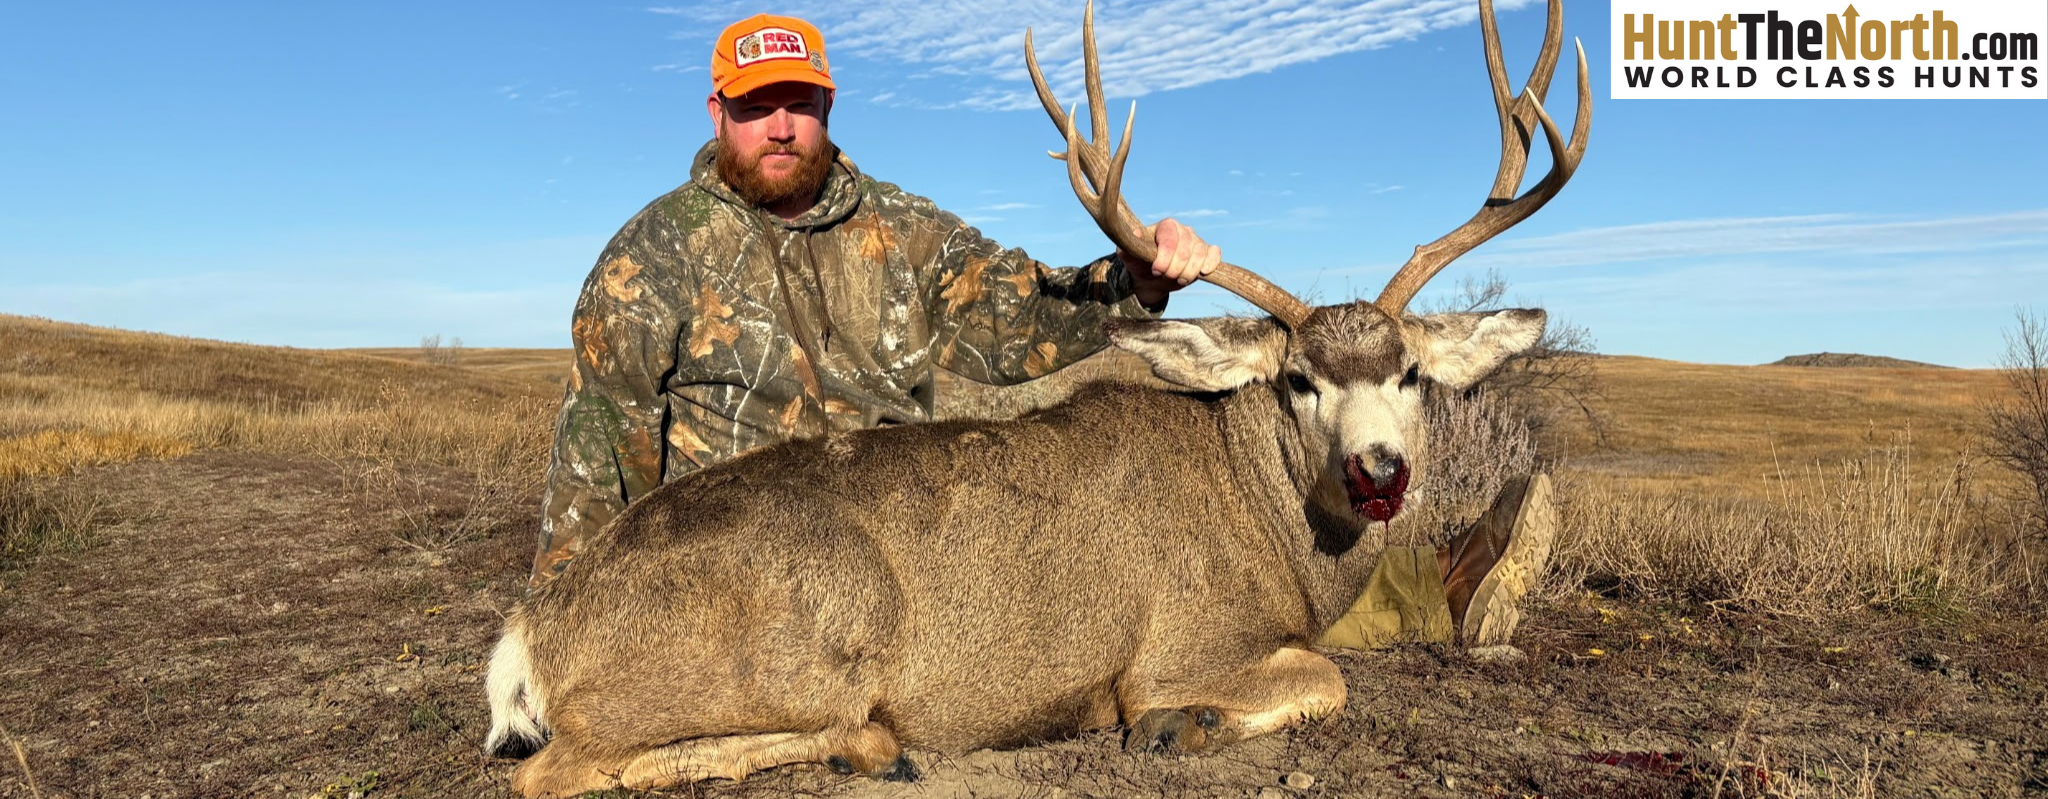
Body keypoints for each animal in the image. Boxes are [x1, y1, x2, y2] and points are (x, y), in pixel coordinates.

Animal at [483, 0, 1588, 794]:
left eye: (1410, 373)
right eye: (1297, 379)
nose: (1378, 471)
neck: (1271, 526)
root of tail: (534, 628)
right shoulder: (1175, 645)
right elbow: (1326, 677)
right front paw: (1179, 728)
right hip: (793, 642)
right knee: (553, 773)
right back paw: (869, 743)